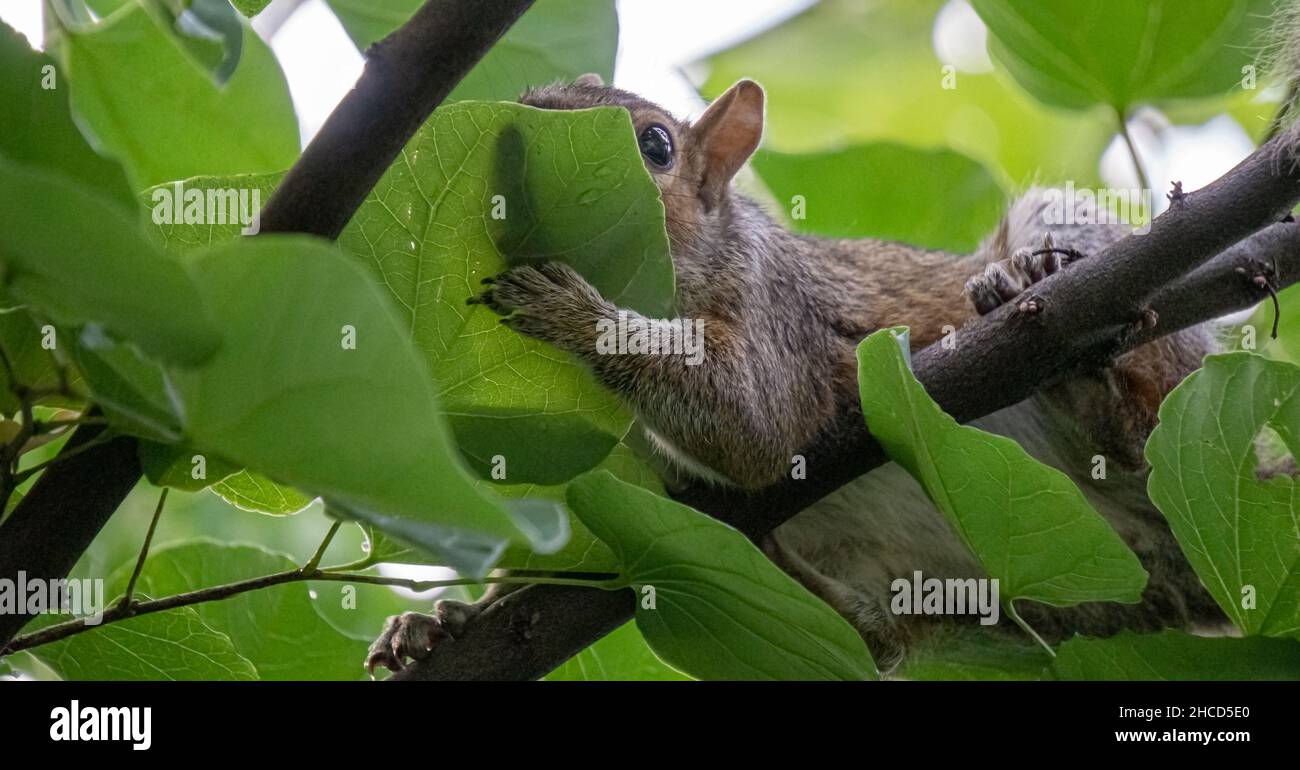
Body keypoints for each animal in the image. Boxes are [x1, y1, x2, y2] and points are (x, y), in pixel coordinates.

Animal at [366, 57, 1300, 676]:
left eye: (657, 146)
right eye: (521, 103)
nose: (520, 142)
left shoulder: (775, 317)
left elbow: (753, 425)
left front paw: (573, 311)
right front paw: (445, 622)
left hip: (1143, 354)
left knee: (1143, 421)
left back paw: (1063, 339)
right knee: (878, 640)